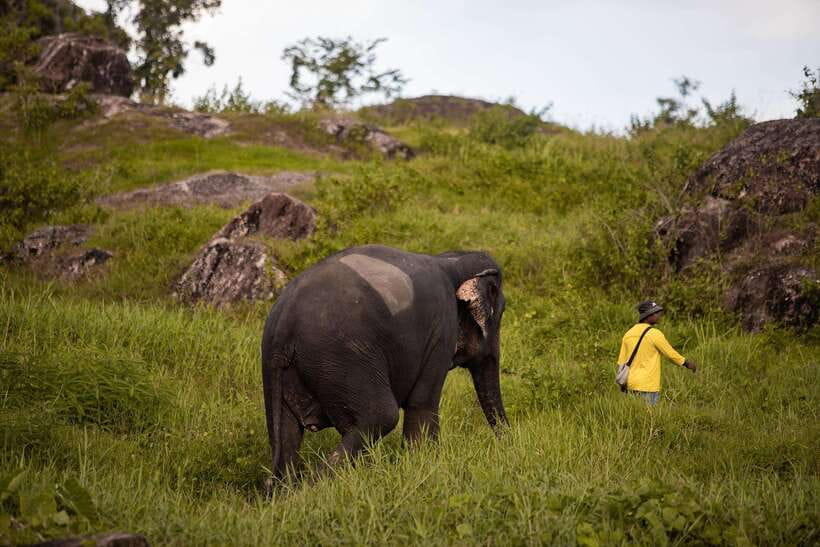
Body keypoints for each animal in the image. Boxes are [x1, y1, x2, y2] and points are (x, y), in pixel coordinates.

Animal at [260, 244, 508, 475]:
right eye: (500, 314)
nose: (504, 443)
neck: (451, 260)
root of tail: (284, 321)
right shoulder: (441, 331)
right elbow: (422, 402)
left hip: (280, 366)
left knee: (285, 437)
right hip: (342, 359)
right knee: (382, 416)